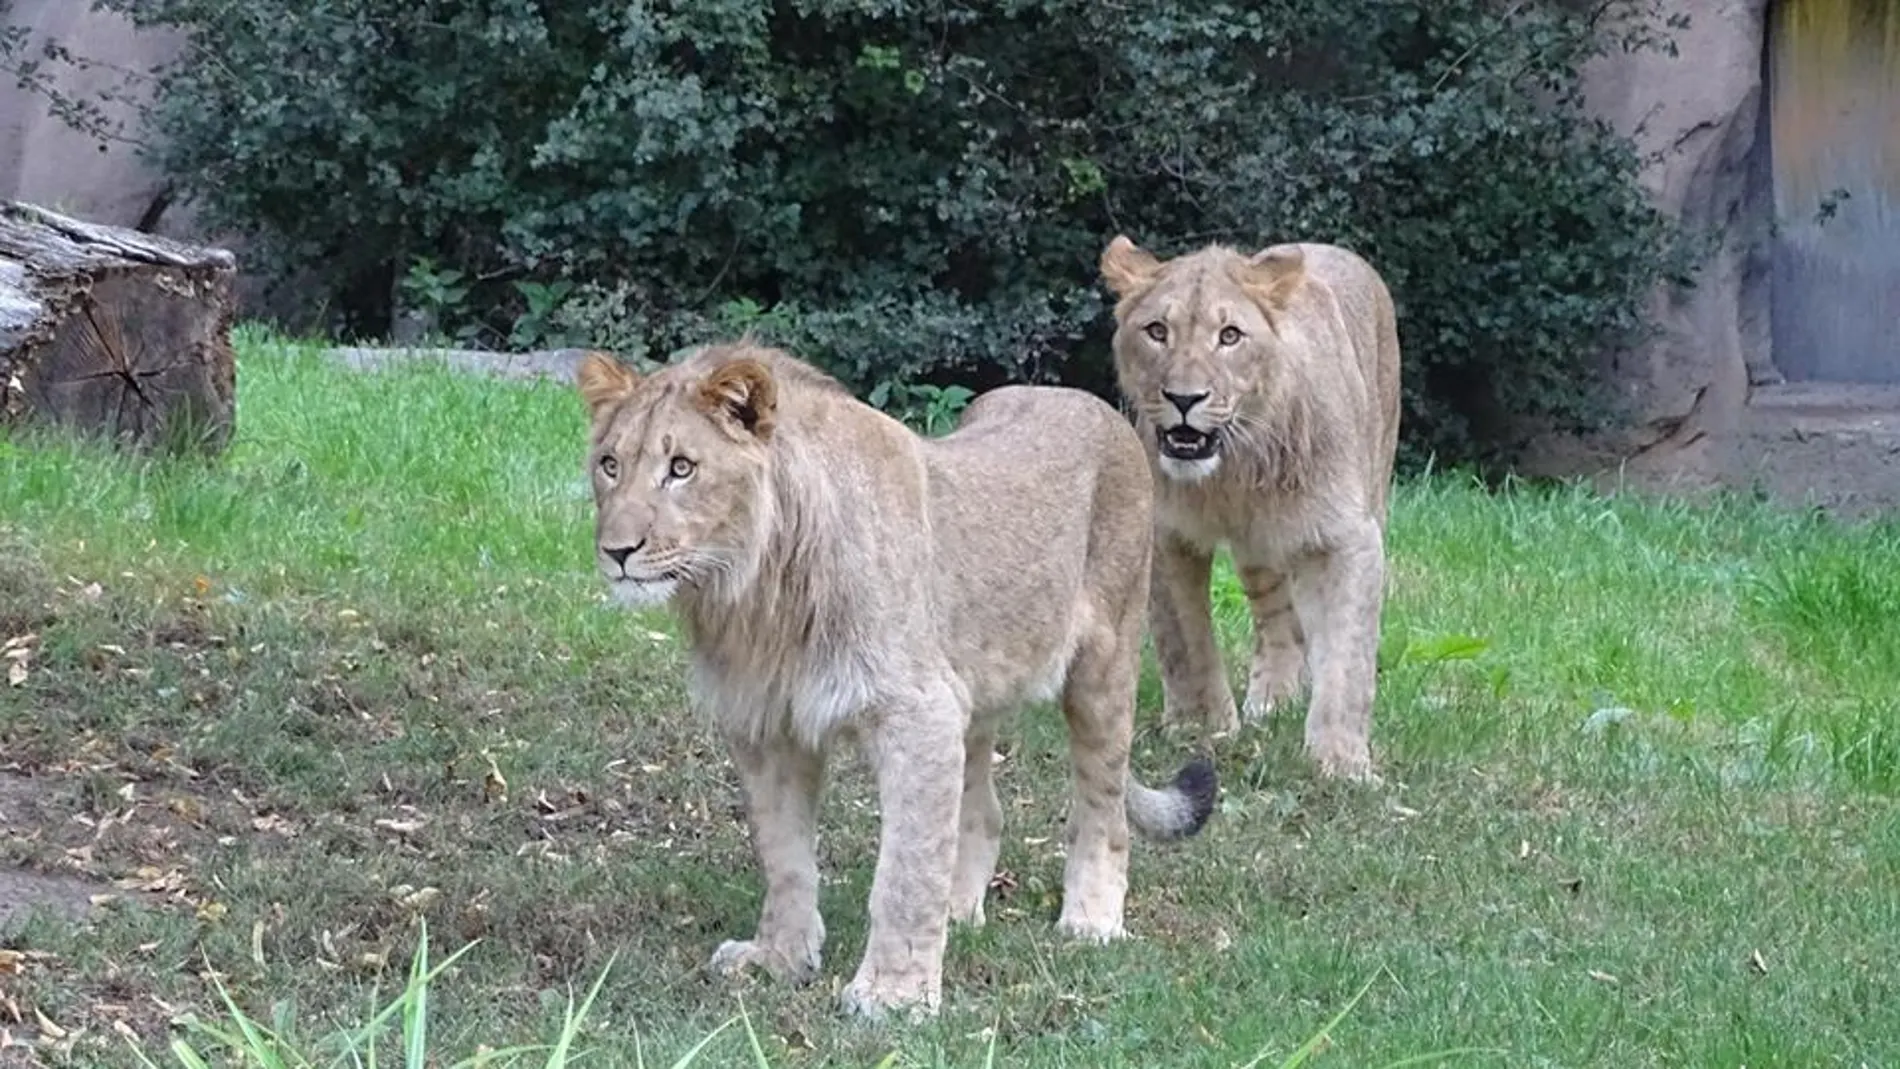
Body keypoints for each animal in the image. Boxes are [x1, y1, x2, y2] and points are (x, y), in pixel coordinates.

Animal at [574, 342, 1217, 1019]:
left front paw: (894, 995)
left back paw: (1090, 921)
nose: (617, 551)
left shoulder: (918, 713)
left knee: (1104, 806)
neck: (754, 594)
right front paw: (779, 958)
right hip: (973, 688)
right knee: (982, 810)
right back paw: (960, 911)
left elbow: (906, 869)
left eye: (681, 468)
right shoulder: (765, 724)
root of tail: (1092, 403)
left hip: (1105, 661)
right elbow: (783, 854)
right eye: (610, 465)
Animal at [1099, 236, 1401, 782]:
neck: (1234, 472)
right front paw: (1203, 726)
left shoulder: (1348, 538)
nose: (1184, 399)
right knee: (1276, 618)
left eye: (1230, 336)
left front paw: (1340, 761)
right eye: (1157, 331)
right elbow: (1185, 641)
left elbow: (1348, 654)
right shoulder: (1166, 533)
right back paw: (1274, 697)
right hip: (1259, 551)